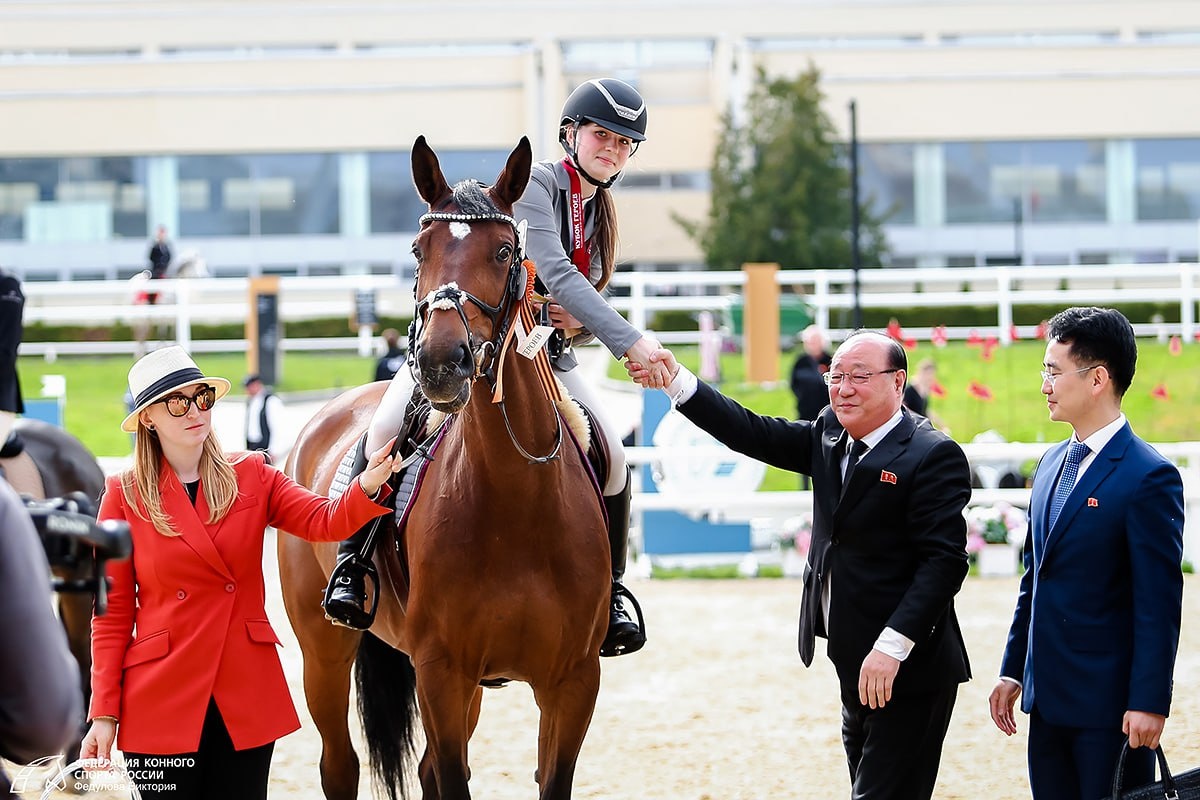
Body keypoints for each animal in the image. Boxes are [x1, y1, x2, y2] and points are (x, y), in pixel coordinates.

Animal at [279, 136, 610, 800]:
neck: (517, 499)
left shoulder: (572, 681)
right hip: (323, 646)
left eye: (505, 250)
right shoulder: (441, 671)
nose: (439, 363)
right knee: (339, 764)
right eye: (418, 250)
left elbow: (545, 777)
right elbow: (451, 778)